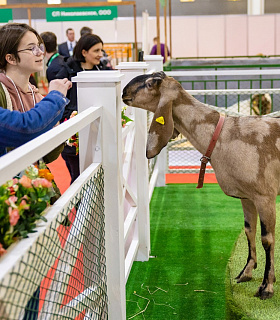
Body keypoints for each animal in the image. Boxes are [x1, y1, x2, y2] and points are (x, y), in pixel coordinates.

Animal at [123, 70, 280, 300]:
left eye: (151, 83)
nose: (124, 91)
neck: (222, 135)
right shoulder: (246, 196)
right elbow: (248, 230)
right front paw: (246, 272)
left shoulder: (265, 196)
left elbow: (267, 239)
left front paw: (267, 286)